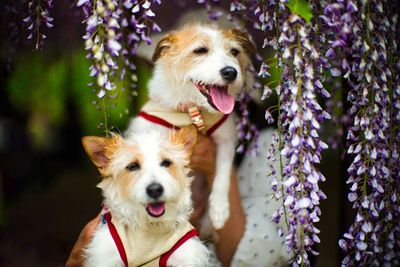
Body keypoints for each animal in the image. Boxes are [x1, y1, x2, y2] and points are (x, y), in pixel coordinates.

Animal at [82, 128, 219, 267]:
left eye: (166, 163)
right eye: (132, 166)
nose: (155, 190)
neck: (151, 226)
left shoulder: (188, 256)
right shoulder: (106, 256)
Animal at [126, 24, 255, 230]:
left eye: (234, 52)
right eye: (200, 50)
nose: (231, 72)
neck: (193, 111)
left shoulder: (226, 140)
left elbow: (223, 174)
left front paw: (219, 209)